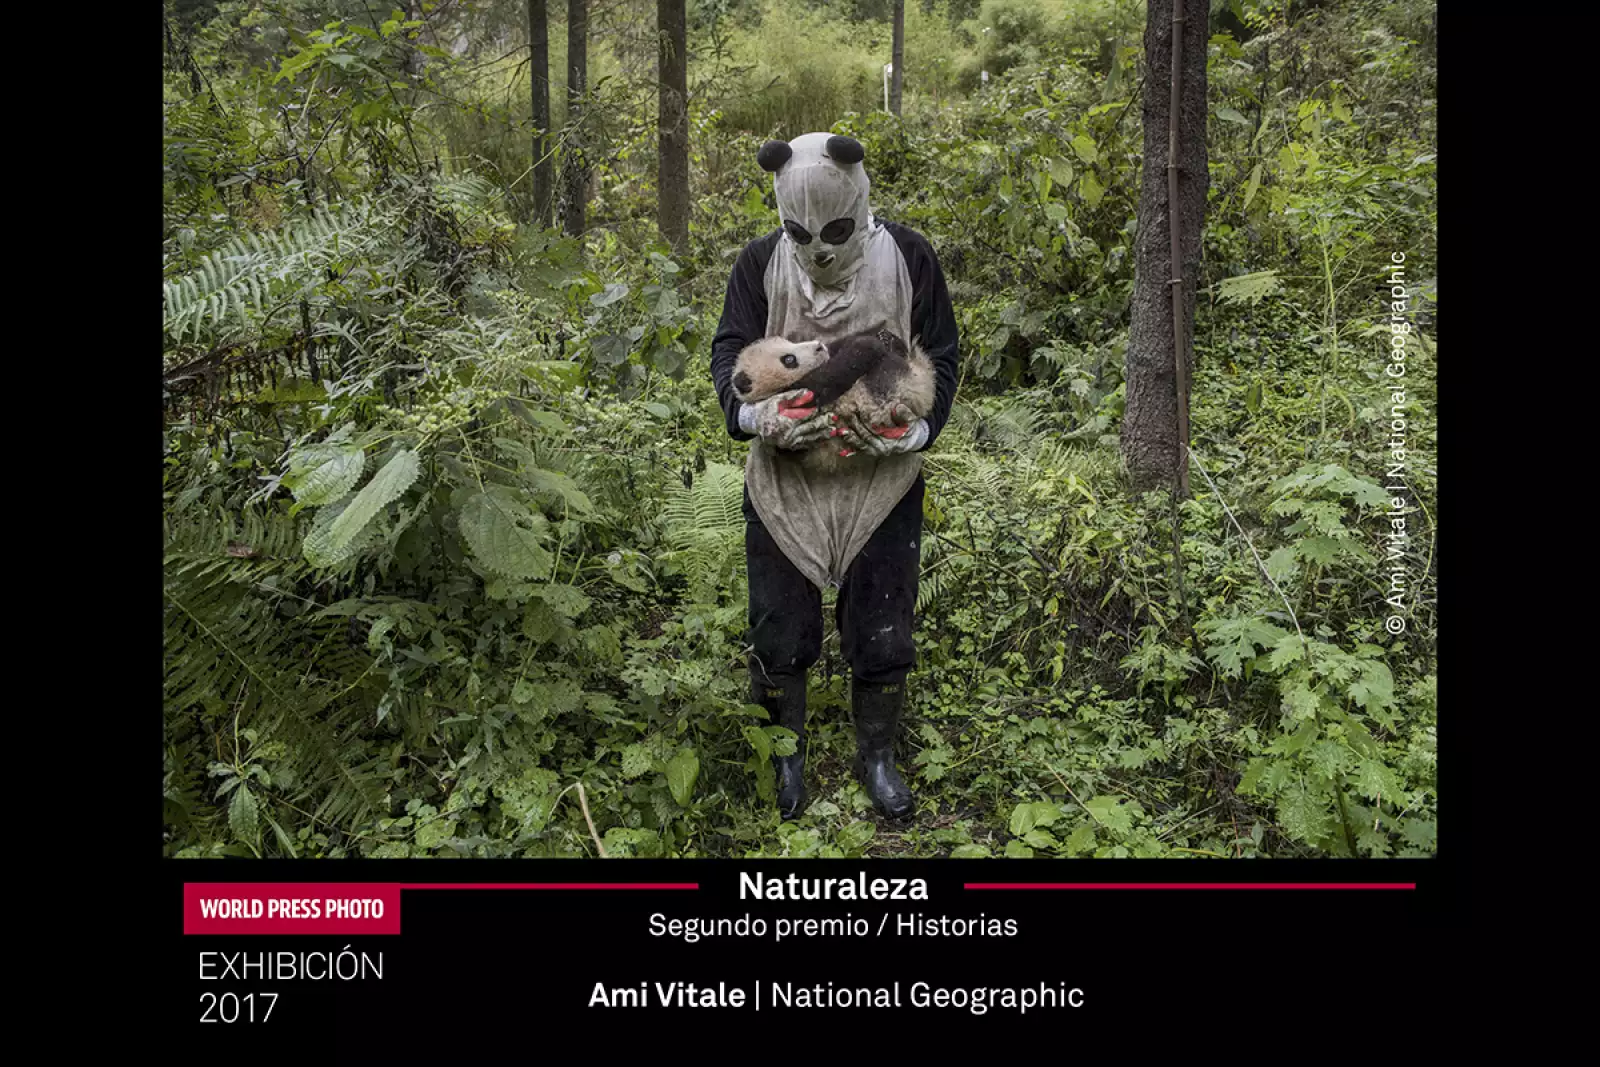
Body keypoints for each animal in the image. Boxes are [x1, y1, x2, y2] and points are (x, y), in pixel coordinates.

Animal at [732, 329, 936, 466]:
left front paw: (881, 336)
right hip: (885, 389)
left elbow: (838, 347)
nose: (818, 346)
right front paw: (869, 344)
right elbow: (837, 372)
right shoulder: (802, 393)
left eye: (789, 342)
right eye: (789, 359)